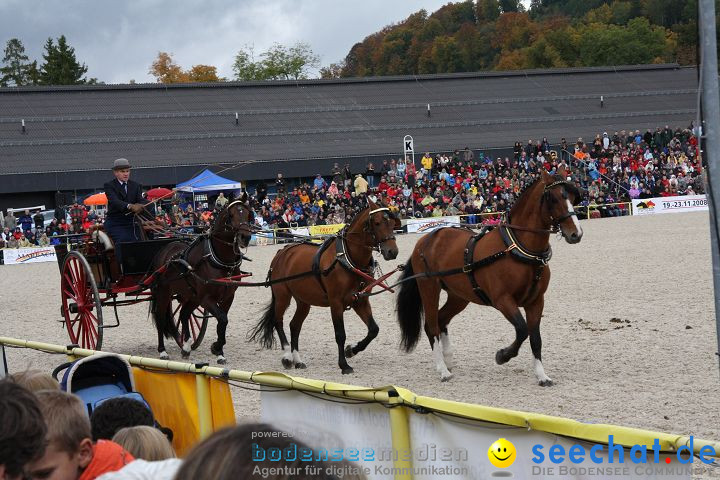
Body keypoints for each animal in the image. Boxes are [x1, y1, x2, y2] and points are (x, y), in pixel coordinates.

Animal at [149, 195, 256, 364]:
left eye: (247, 213)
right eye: (231, 215)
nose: (245, 237)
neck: (218, 259)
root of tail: (165, 249)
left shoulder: (228, 297)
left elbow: (222, 322)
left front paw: (219, 352)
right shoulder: (206, 298)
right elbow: (222, 319)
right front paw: (216, 347)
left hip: (191, 296)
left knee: (184, 314)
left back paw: (186, 347)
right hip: (164, 293)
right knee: (161, 319)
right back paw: (162, 351)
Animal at [250, 201, 400, 374]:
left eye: (392, 223)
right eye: (377, 223)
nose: (392, 251)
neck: (346, 258)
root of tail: (282, 252)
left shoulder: (360, 301)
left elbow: (373, 329)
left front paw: (351, 350)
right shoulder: (336, 303)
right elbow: (340, 334)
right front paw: (344, 365)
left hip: (303, 301)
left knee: (294, 325)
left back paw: (298, 360)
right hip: (282, 296)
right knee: (278, 321)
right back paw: (287, 356)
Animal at [396, 170, 584, 386]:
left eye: (572, 197)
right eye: (553, 198)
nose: (576, 233)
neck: (517, 248)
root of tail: (427, 238)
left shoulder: (536, 301)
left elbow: (535, 338)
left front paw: (542, 375)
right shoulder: (503, 300)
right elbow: (522, 329)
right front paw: (503, 355)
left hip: (459, 296)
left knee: (442, 319)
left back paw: (448, 359)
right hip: (429, 289)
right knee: (432, 326)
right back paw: (442, 370)